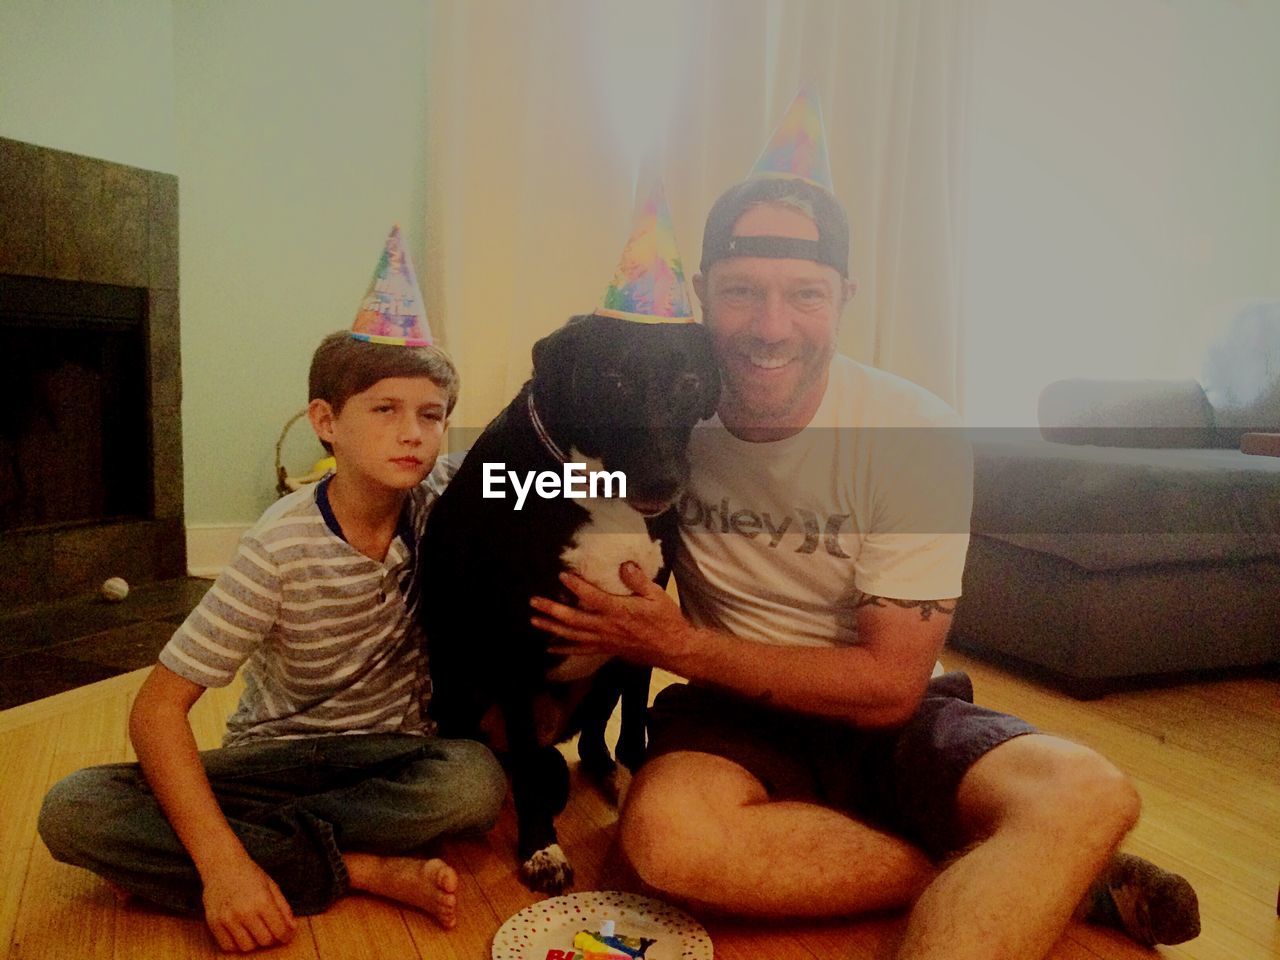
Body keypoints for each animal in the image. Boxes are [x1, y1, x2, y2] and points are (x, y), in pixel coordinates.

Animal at [422, 313, 716, 896]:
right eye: (615, 381)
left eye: (691, 382)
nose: (663, 484)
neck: (600, 490)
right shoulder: (515, 645)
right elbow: (530, 779)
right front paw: (542, 849)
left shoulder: (642, 627)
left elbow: (633, 730)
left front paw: (631, 785)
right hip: (466, 692)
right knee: (515, 760)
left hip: (602, 678)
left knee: (593, 740)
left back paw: (606, 774)